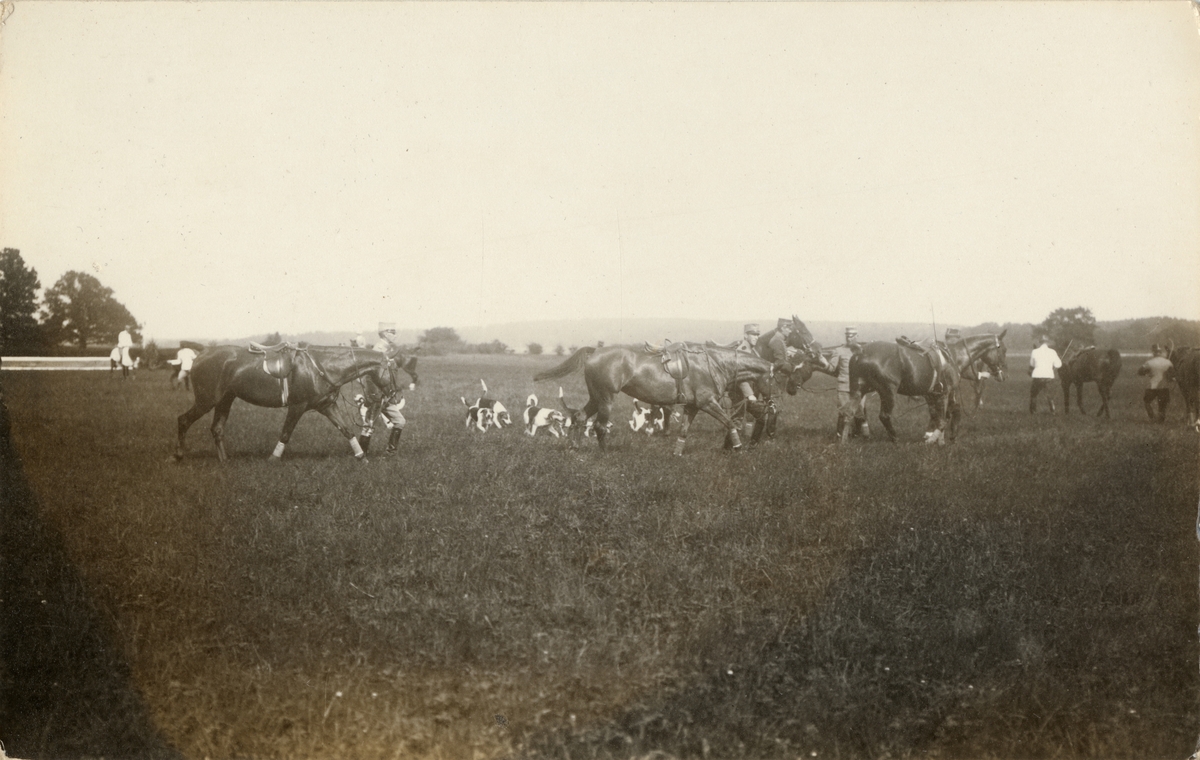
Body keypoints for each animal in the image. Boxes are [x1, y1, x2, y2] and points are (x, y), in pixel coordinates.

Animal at [174, 343, 405, 462]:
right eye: (394, 368)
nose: (394, 396)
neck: (321, 366)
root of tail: (202, 353)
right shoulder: (298, 406)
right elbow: (286, 432)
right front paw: (274, 458)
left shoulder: (327, 406)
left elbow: (346, 430)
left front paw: (361, 456)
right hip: (207, 400)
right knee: (183, 420)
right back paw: (179, 455)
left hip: (225, 400)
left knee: (217, 428)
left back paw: (224, 460)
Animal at [533, 344, 779, 454]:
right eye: (774, 378)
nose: (773, 404)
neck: (715, 365)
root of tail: (595, 352)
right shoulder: (708, 403)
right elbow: (728, 422)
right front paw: (738, 447)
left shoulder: (692, 407)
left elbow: (684, 430)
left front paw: (677, 452)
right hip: (605, 398)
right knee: (599, 426)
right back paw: (605, 452)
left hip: (596, 397)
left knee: (580, 417)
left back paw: (574, 445)